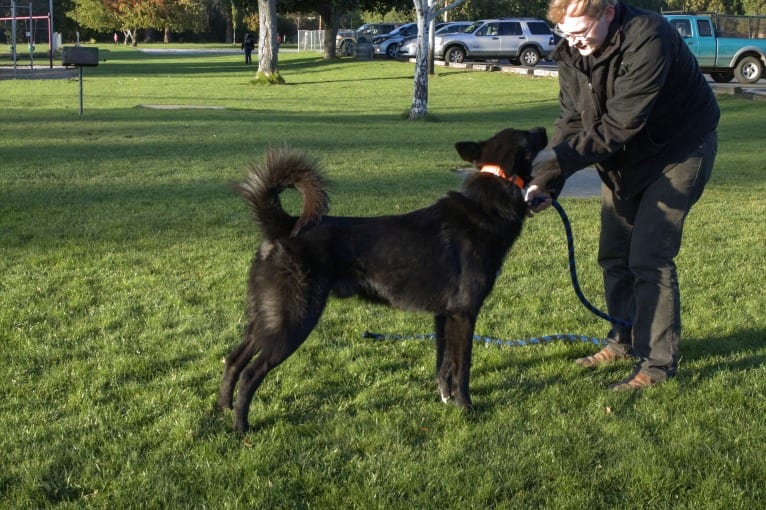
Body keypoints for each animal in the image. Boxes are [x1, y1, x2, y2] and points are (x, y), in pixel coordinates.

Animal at [219, 126, 548, 430]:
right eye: (527, 134)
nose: (544, 128)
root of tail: (285, 226)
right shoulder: (464, 315)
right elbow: (462, 368)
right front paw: (466, 408)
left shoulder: (444, 316)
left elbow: (443, 365)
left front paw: (446, 399)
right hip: (293, 322)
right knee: (249, 373)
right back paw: (241, 428)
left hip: (266, 320)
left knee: (233, 361)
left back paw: (222, 410)